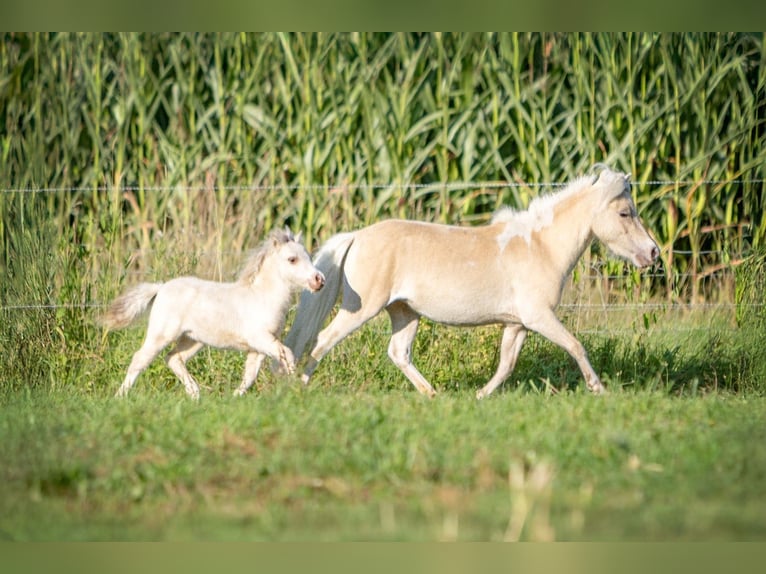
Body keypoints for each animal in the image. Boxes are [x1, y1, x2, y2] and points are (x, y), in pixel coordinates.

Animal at [103, 228, 325, 399]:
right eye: (292, 259)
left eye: (309, 256)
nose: (319, 280)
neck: (261, 298)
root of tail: (161, 288)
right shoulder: (260, 339)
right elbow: (287, 354)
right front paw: (293, 385)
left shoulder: (259, 347)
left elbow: (250, 375)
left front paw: (234, 398)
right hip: (162, 334)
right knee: (139, 360)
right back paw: (119, 397)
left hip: (193, 339)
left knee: (174, 358)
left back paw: (195, 395)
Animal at [284, 166, 659, 398]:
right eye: (625, 212)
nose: (653, 252)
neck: (541, 247)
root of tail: (358, 236)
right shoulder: (539, 317)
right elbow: (575, 345)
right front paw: (599, 389)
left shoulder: (518, 324)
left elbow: (507, 364)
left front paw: (480, 395)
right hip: (361, 308)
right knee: (323, 340)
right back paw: (300, 385)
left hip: (404, 311)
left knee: (398, 352)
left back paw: (432, 394)